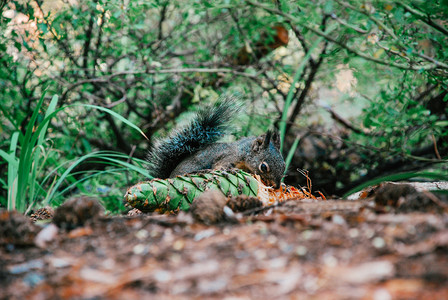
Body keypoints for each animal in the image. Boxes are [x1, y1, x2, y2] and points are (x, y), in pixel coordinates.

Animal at [147, 96, 288, 188]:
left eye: (284, 164)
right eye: (263, 167)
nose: (276, 186)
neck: (243, 152)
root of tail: (168, 176)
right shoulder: (228, 157)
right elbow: (220, 166)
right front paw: (231, 170)